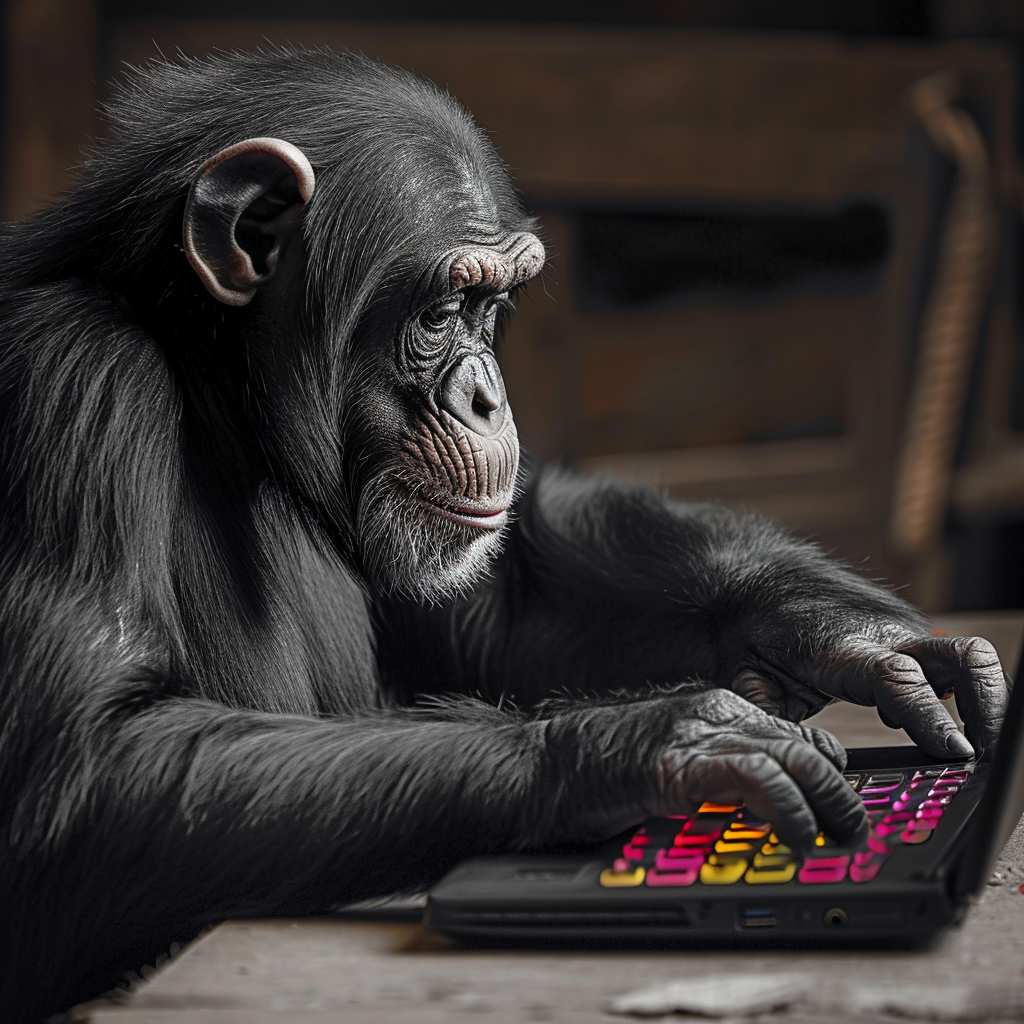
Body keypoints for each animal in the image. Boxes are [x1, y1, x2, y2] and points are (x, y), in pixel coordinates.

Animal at [0, 46, 1007, 1015]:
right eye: (442, 311)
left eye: (490, 310)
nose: (487, 395)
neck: (217, 391)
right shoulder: (70, 385)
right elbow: (86, 781)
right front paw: (660, 743)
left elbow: (491, 612)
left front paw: (844, 633)